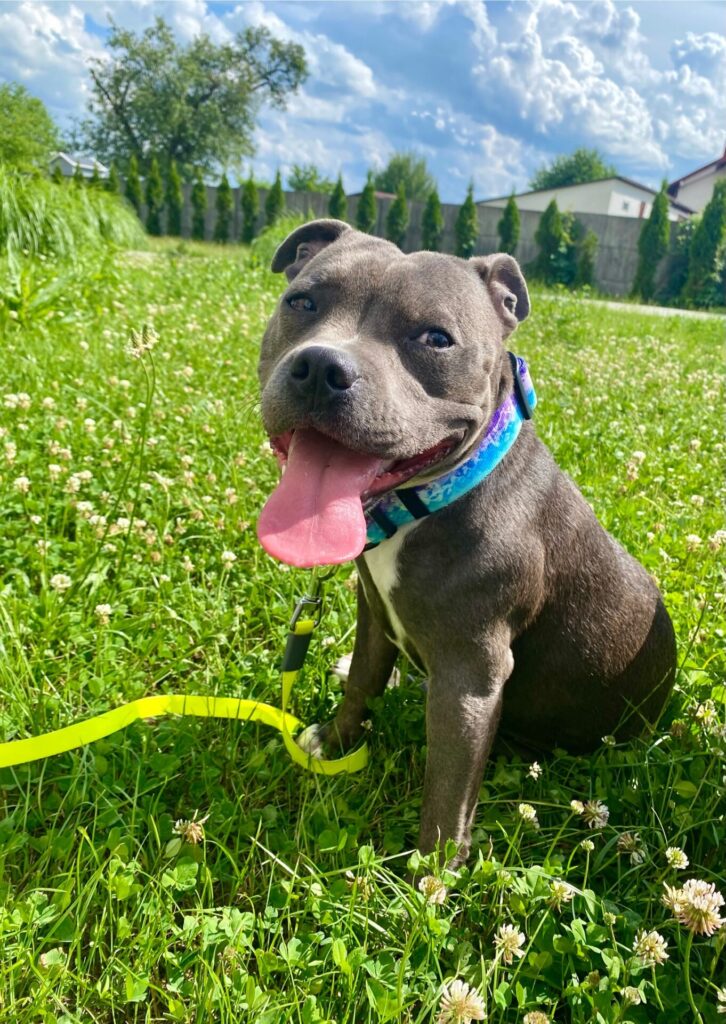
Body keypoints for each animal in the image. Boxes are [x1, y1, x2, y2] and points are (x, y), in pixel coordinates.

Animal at [256, 218, 676, 866]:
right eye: (301, 302)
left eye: (436, 338)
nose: (322, 367)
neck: (425, 501)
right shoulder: (374, 615)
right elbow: (361, 684)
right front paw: (336, 739)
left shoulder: (469, 675)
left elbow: (448, 792)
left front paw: (431, 874)